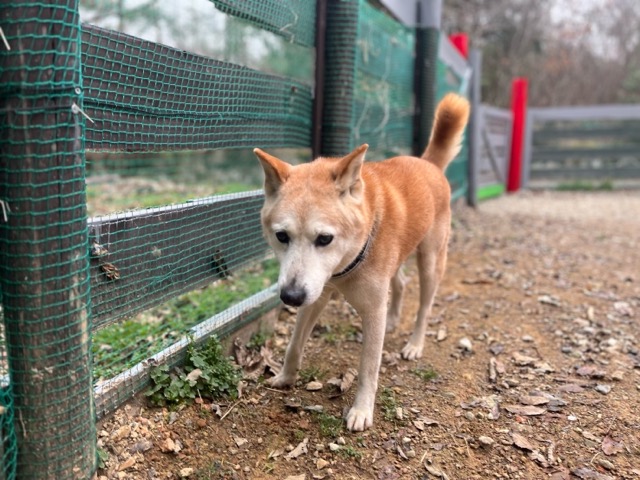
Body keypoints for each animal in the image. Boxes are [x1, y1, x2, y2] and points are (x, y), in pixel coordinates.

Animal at [254, 93, 470, 431]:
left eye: (324, 239)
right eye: (282, 236)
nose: (290, 296)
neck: (342, 270)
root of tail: (428, 163)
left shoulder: (370, 310)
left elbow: (369, 368)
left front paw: (362, 410)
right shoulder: (316, 297)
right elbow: (294, 345)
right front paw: (285, 377)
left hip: (431, 261)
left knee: (424, 307)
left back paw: (415, 344)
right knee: (401, 283)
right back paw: (394, 320)